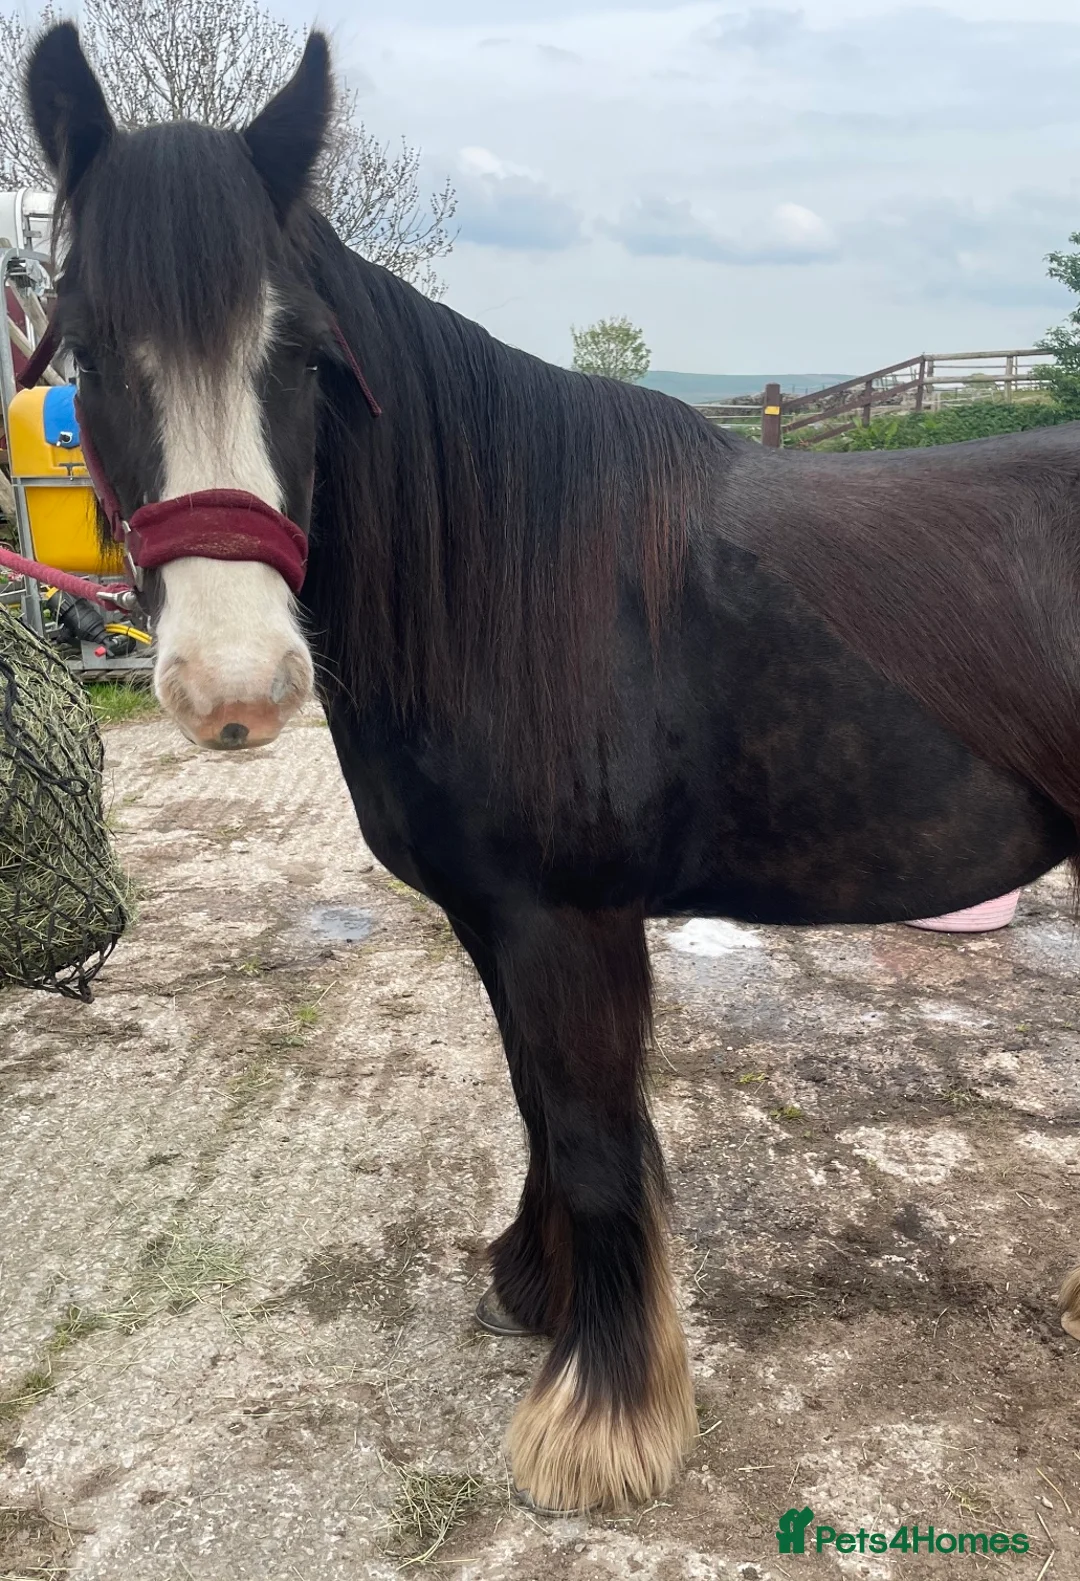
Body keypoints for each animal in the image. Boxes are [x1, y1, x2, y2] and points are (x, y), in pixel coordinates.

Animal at [25, 22, 1080, 1515]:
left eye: (302, 355)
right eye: (93, 350)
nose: (237, 689)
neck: (507, 584)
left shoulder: (569, 920)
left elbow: (588, 1134)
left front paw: (601, 1418)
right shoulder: (497, 917)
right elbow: (536, 1101)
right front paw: (538, 1290)